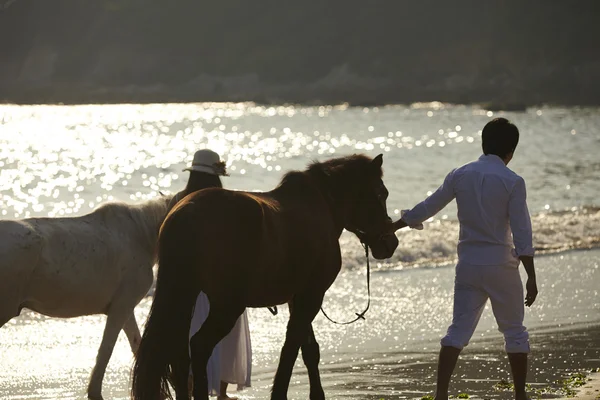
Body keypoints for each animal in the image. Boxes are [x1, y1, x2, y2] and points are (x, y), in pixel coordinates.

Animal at [0, 195, 173, 400]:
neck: (142, 234)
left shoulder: (125, 307)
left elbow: (136, 344)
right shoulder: (121, 307)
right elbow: (107, 349)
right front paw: (94, 392)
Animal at [134, 154, 400, 400]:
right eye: (381, 193)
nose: (391, 242)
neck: (321, 206)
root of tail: (184, 214)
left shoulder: (298, 297)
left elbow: (309, 350)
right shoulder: (312, 296)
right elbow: (291, 347)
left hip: (186, 295)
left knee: (178, 354)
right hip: (226, 305)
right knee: (199, 346)